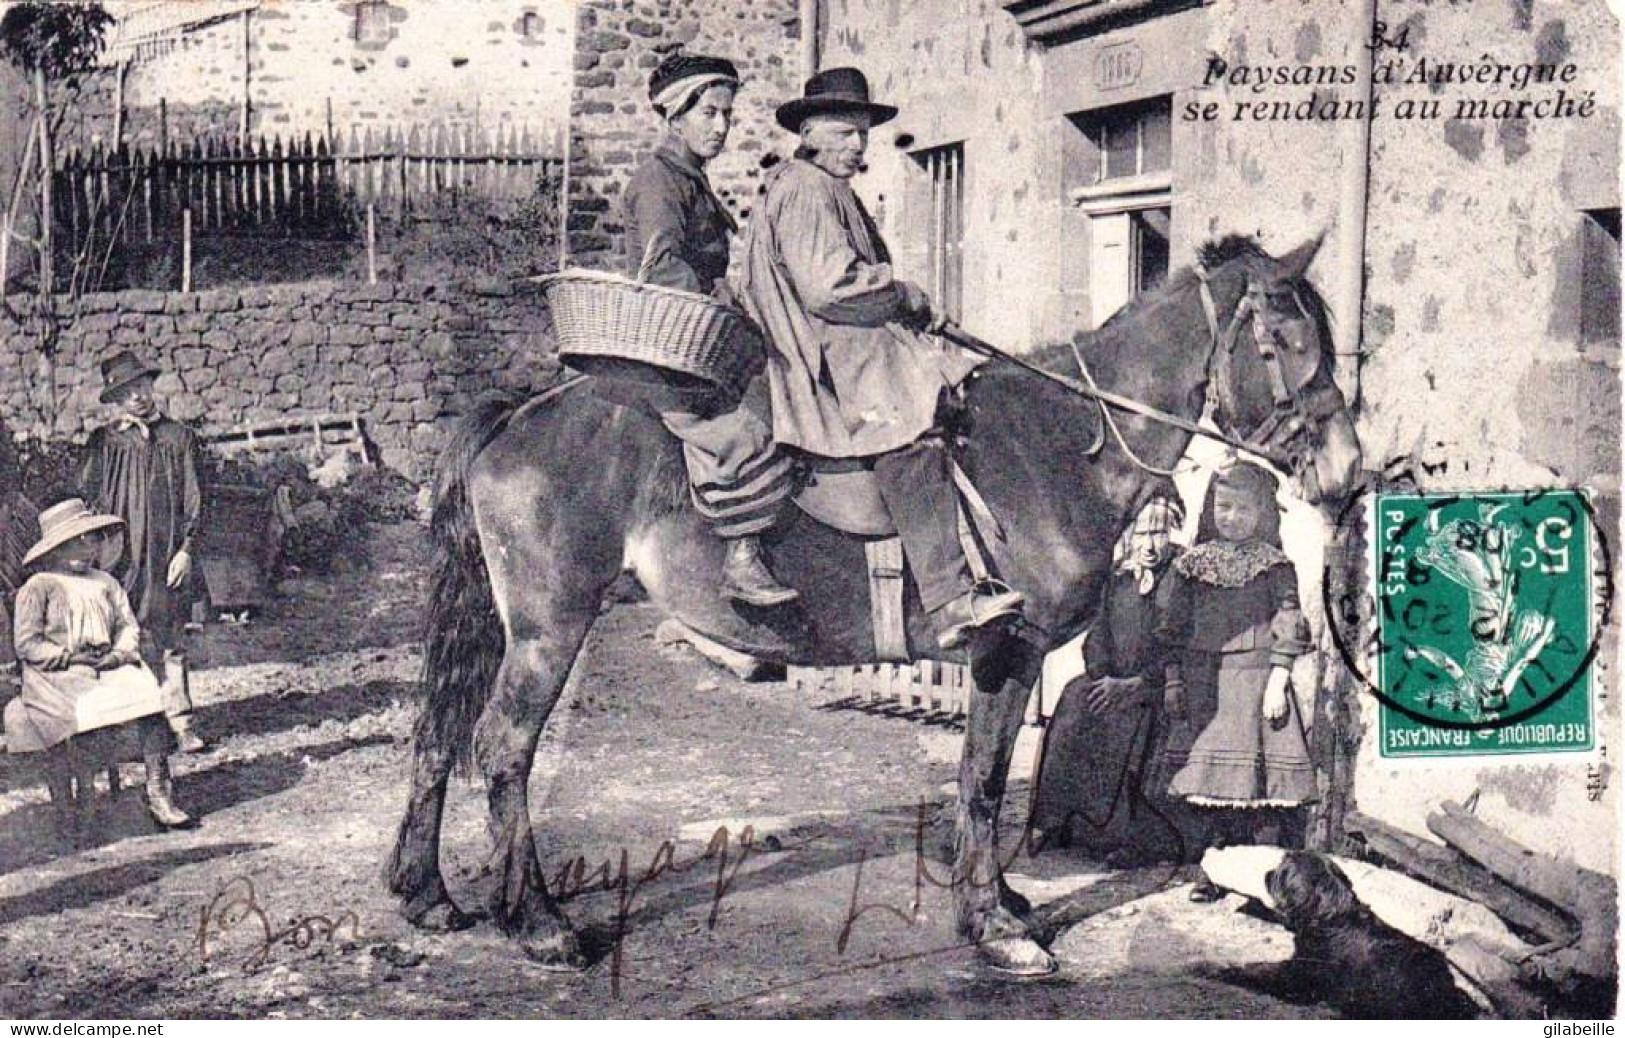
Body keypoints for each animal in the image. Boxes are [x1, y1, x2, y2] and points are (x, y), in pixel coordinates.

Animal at [386, 233, 1365, 974]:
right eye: (1281, 344)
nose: (1350, 470)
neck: (1054, 446)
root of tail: (522, 409)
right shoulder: (1006, 651)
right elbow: (980, 781)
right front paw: (995, 927)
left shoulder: (1009, 663)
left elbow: (983, 776)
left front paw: (1000, 901)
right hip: (548, 629)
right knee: (502, 747)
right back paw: (538, 924)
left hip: (504, 627)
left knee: (438, 737)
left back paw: (426, 895)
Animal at [1228, 851, 1488, 1026]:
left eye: (1282, 872)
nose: (1267, 873)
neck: (1332, 918)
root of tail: (1445, 990)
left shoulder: (1299, 976)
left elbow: (1262, 971)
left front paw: (1226, 969)